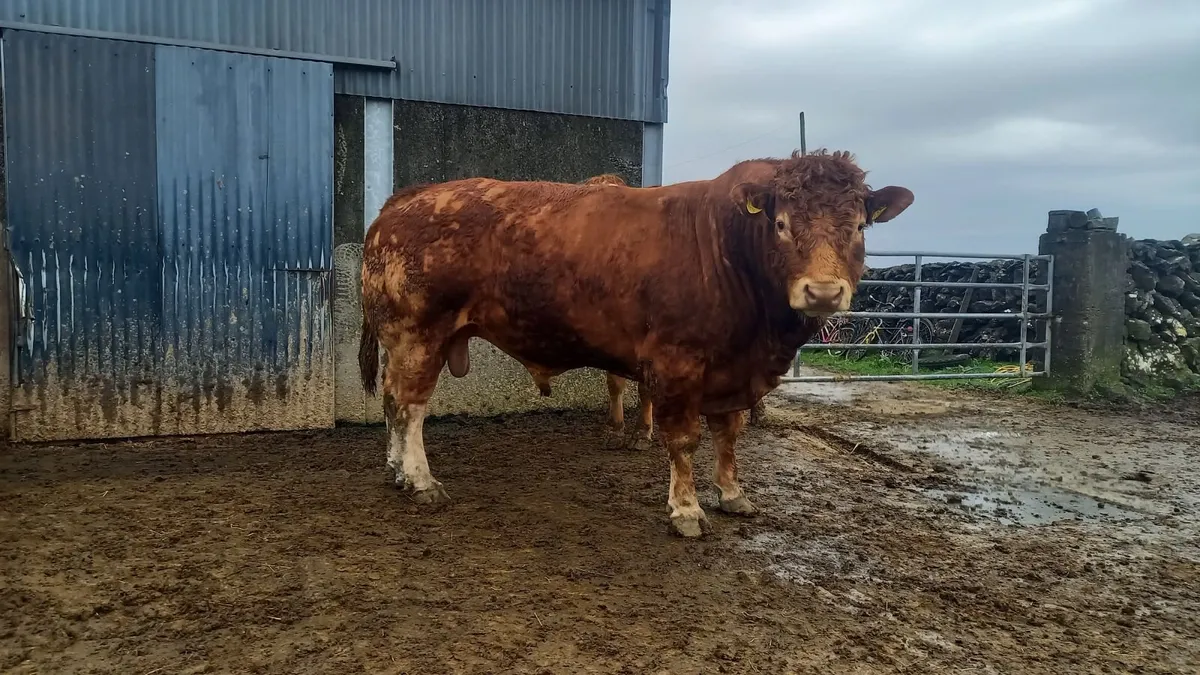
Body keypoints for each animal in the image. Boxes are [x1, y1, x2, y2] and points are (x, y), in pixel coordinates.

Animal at [358, 149, 914, 537]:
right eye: (780, 223)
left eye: (859, 226)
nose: (823, 291)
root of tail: (406, 199)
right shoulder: (679, 363)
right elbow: (684, 440)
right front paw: (686, 510)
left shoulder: (732, 370)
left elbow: (729, 434)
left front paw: (732, 494)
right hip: (418, 332)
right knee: (408, 405)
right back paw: (421, 480)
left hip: (403, 338)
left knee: (391, 401)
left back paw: (395, 471)